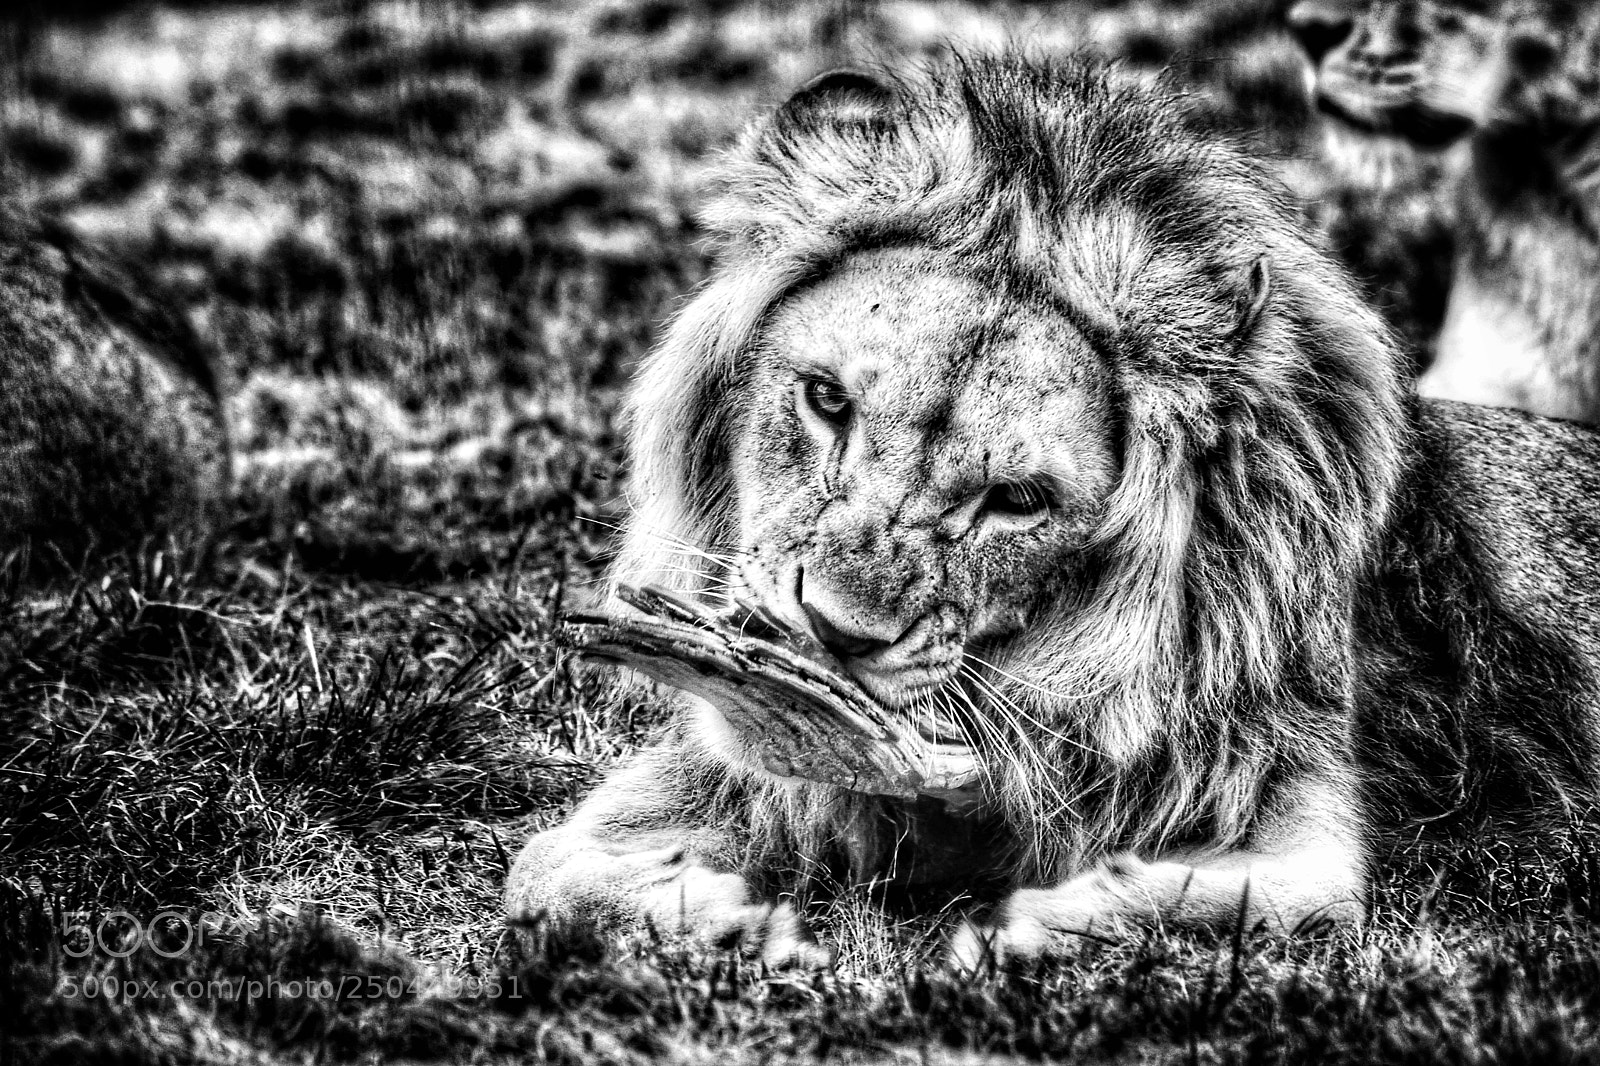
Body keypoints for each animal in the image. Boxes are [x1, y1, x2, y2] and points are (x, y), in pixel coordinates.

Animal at [505, 55, 1600, 968]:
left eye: (1016, 503)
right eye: (826, 401)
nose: (831, 634)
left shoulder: (1305, 822)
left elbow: (1239, 899)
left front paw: (1014, 925)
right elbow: (539, 873)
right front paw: (725, 919)